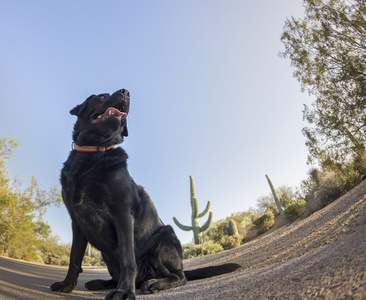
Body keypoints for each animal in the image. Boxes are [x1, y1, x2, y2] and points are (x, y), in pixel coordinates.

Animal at [50, 89, 240, 300]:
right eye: (101, 97)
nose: (126, 92)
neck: (93, 154)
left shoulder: (123, 214)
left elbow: (127, 258)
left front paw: (124, 292)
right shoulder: (77, 221)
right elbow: (74, 258)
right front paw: (67, 284)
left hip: (163, 238)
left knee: (180, 277)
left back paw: (155, 283)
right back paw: (100, 282)